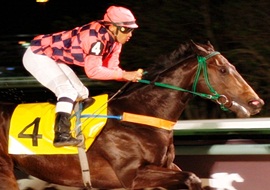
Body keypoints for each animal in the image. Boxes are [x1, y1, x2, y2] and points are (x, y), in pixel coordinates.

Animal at [0, 40, 264, 189]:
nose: (256, 103)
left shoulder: (166, 167)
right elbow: (193, 177)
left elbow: (192, 177)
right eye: (223, 70)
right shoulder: (132, 175)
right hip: (5, 173)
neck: (142, 115)